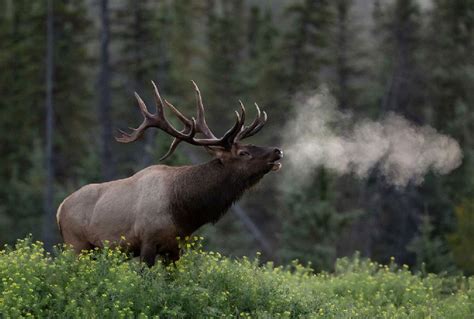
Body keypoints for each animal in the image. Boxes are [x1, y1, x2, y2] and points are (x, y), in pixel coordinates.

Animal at [57, 81, 284, 266]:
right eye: (243, 152)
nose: (277, 151)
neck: (183, 211)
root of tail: (59, 209)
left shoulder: (174, 248)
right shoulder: (147, 241)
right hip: (76, 245)